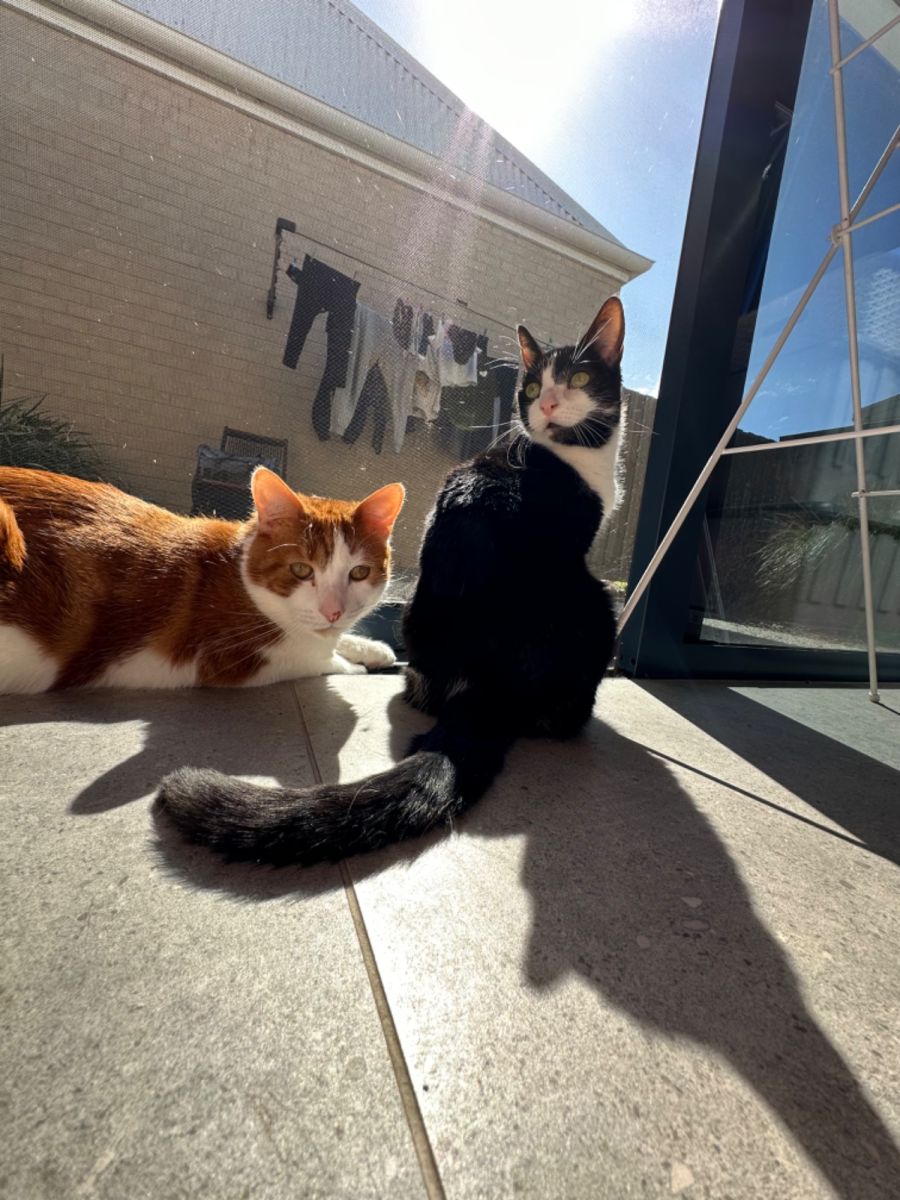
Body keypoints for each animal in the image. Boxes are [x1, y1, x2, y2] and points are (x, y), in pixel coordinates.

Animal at [0, 466, 404, 692]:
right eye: (302, 570)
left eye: (359, 572)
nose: (333, 612)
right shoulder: (230, 660)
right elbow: (317, 658)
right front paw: (352, 664)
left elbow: (333, 641)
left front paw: (369, 647)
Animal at [156, 296, 625, 865]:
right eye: (533, 388)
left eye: (578, 377)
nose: (549, 407)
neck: (564, 451)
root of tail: (491, 684)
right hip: (598, 605)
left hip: (414, 621)